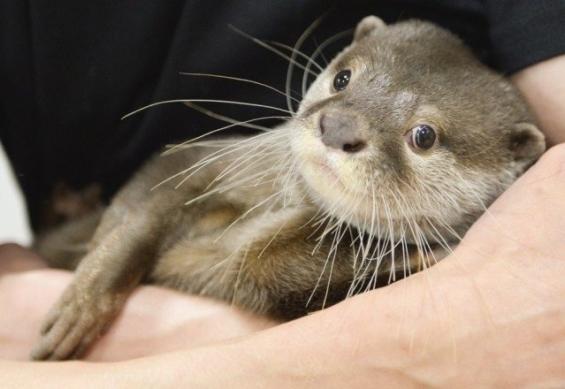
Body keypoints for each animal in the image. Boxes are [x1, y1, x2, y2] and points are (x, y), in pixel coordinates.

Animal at [28, 16, 544, 360]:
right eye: (343, 76)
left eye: (424, 135)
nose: (339, 126)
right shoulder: (201, 162)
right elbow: (139, 210)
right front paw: (83, 303)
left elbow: (262, 265)